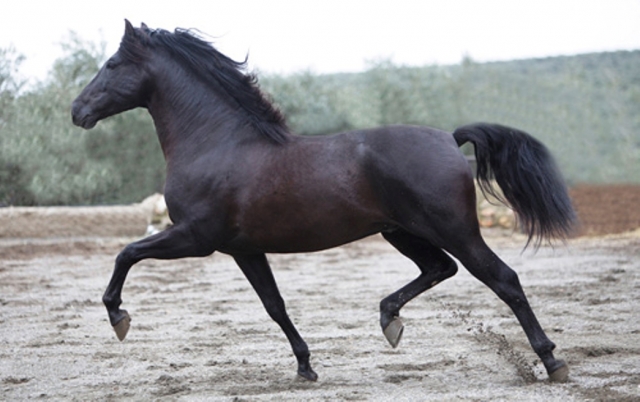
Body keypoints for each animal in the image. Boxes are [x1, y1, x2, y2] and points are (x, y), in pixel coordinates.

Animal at [72, 20, 576, 383]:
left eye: (113, 63)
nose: (77, 110)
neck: (218, 144)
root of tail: (450, 138)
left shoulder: (195, 238)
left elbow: (126, 253)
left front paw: (118, 317)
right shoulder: (244, 249)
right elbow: (275, 306)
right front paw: (305, 366)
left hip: (455, 230)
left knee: (503, 279)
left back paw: (552, 362)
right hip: (401, 232)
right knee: (439, 268)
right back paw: (389, 320)